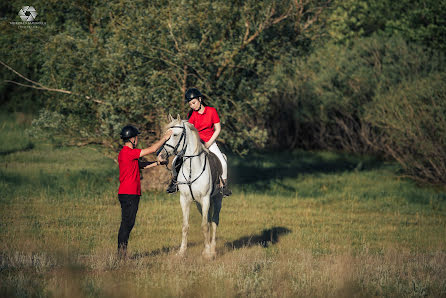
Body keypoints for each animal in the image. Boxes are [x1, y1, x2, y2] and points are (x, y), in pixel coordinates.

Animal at [159, 115, 223, 260]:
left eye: (175, 134)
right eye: (166, 134)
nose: (161, 156)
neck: (192, 169)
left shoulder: (205, 199)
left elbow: (205, 226)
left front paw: (207, 254)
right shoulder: (185, 200)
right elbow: (185, 226)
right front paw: (182, 252)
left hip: (217, 199)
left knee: (214, 221)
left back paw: (213, 250)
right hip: (199, 204)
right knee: (209, 220)